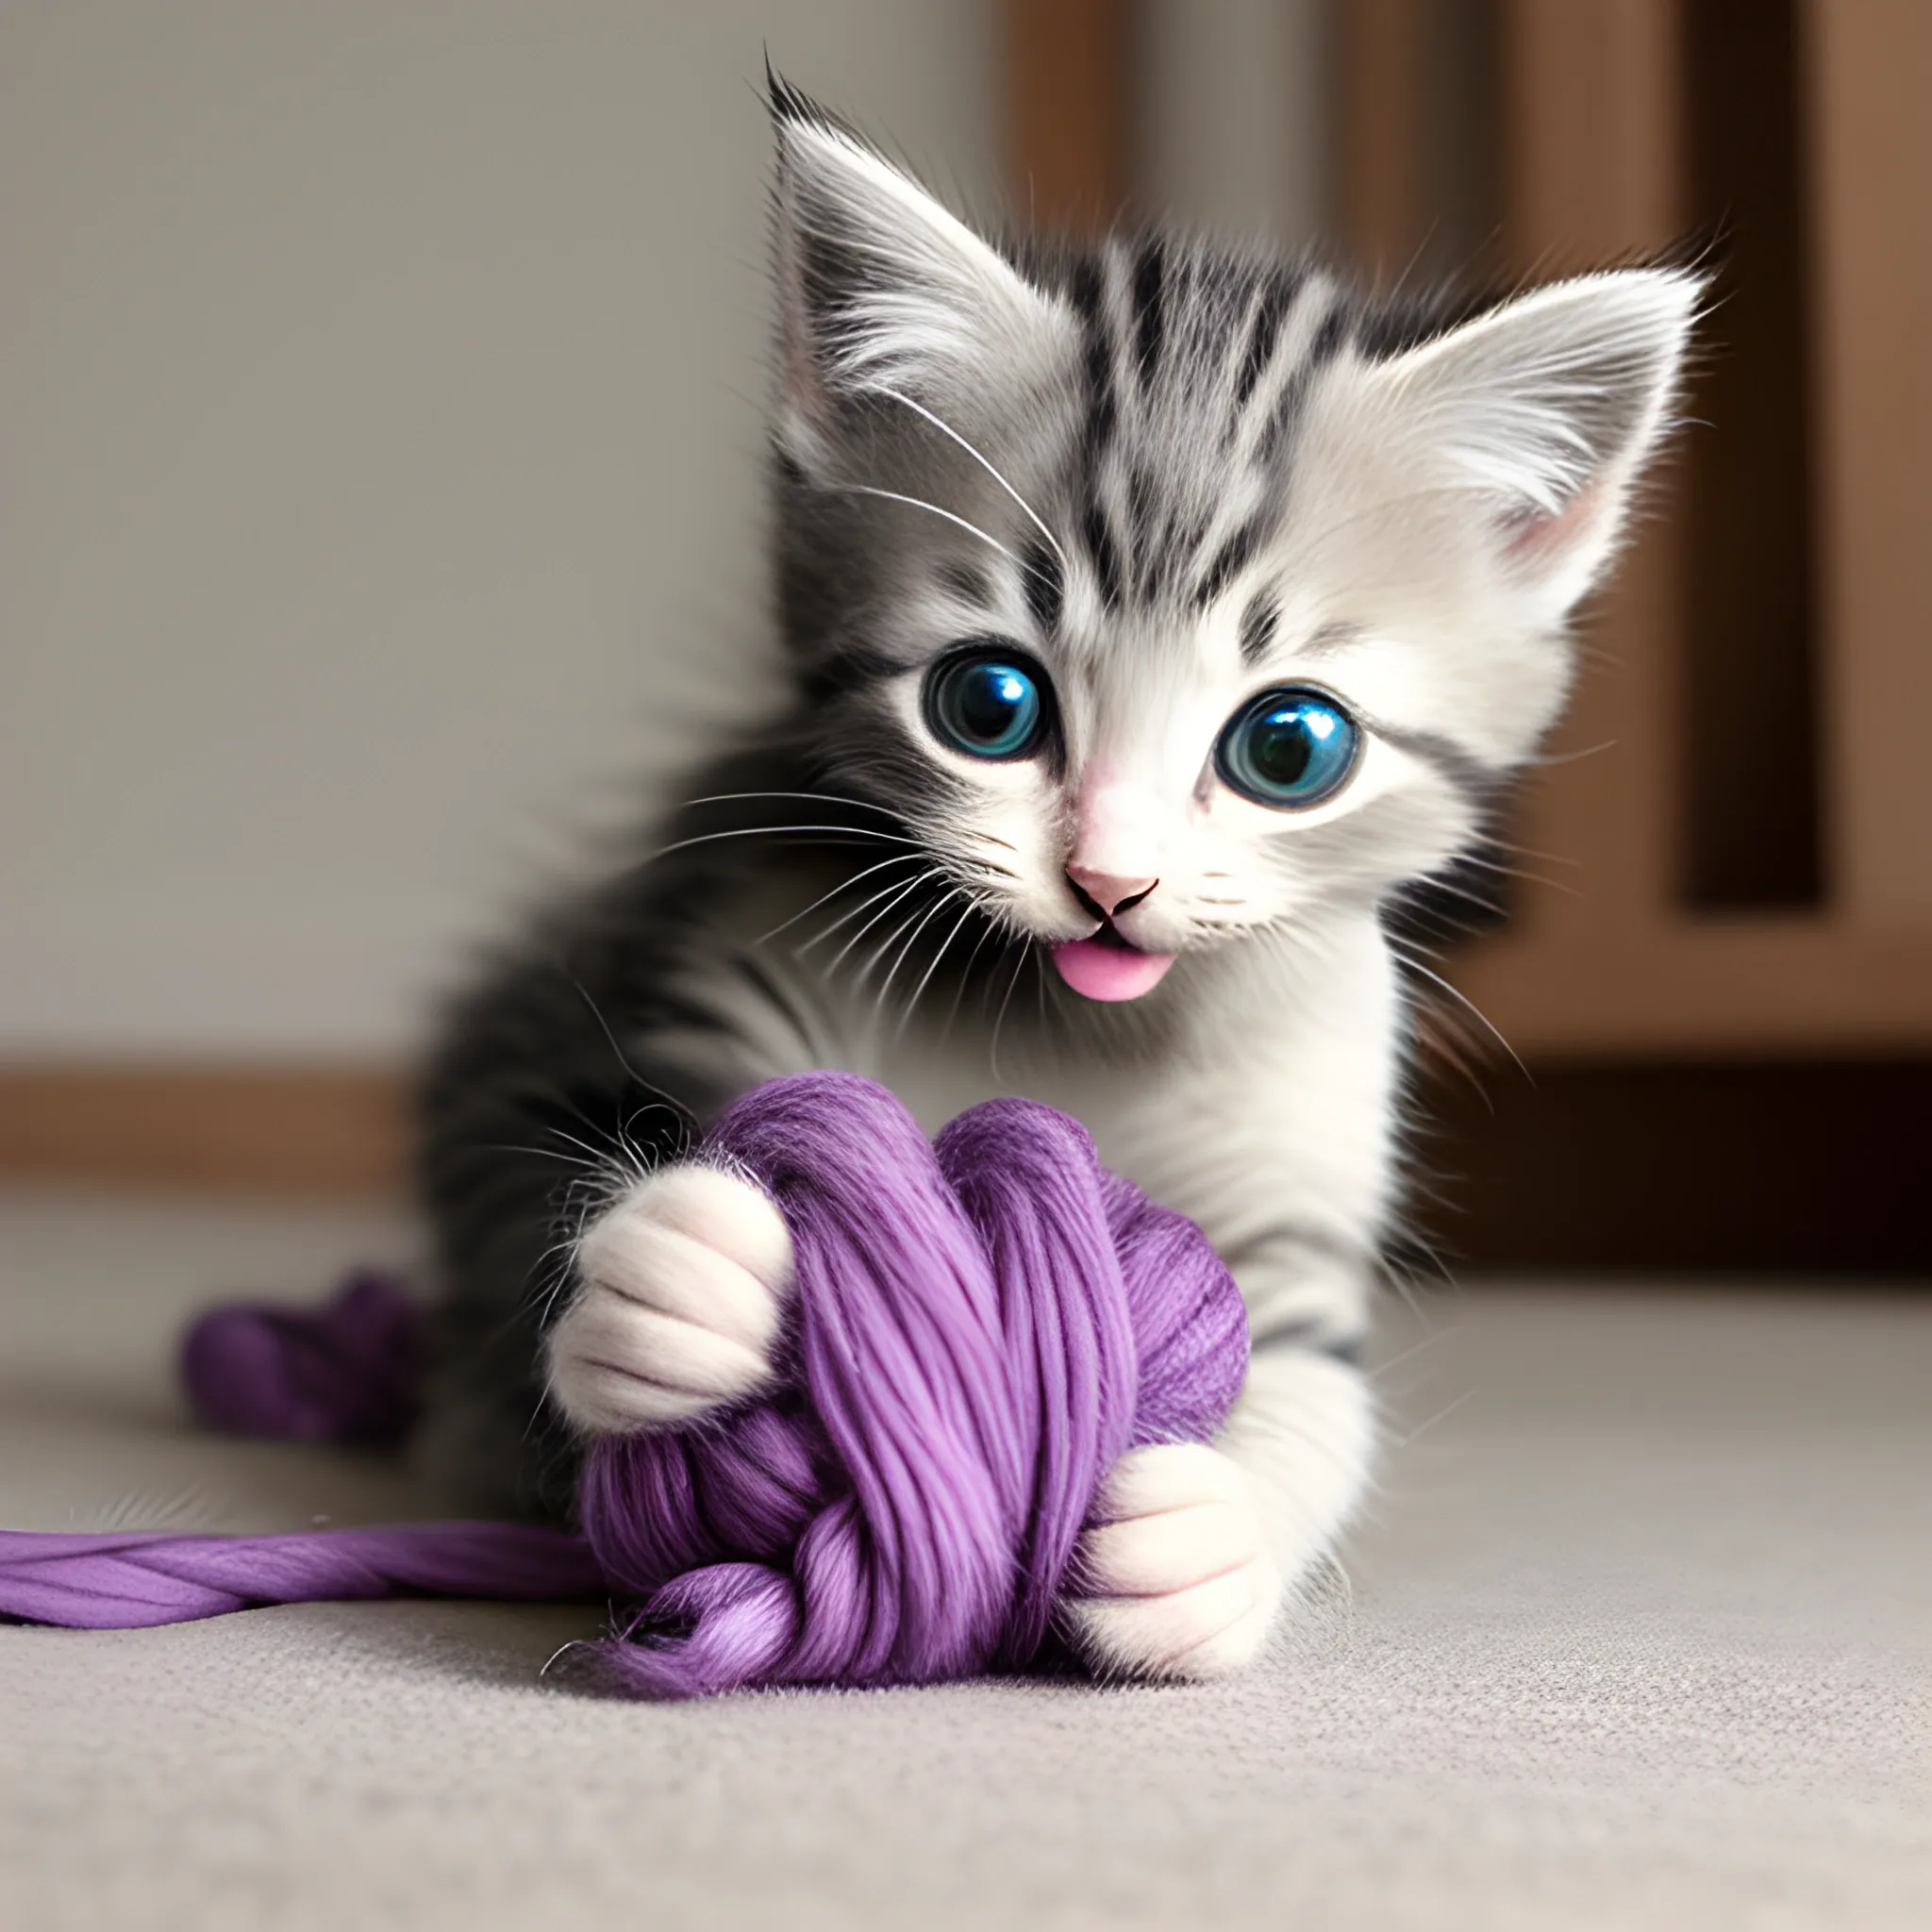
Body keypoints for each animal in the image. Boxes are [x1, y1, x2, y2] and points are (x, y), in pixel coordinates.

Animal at [415, 75, 1700, 1676]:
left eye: (1291, 745)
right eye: (989, 705)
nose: (1109, 882)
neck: (1077, 1034)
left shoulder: (1304, 1162)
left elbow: (1314, 1381)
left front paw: (1216, 1532)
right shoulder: (640, 968)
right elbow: (535, 1174)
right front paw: (674, 1269)